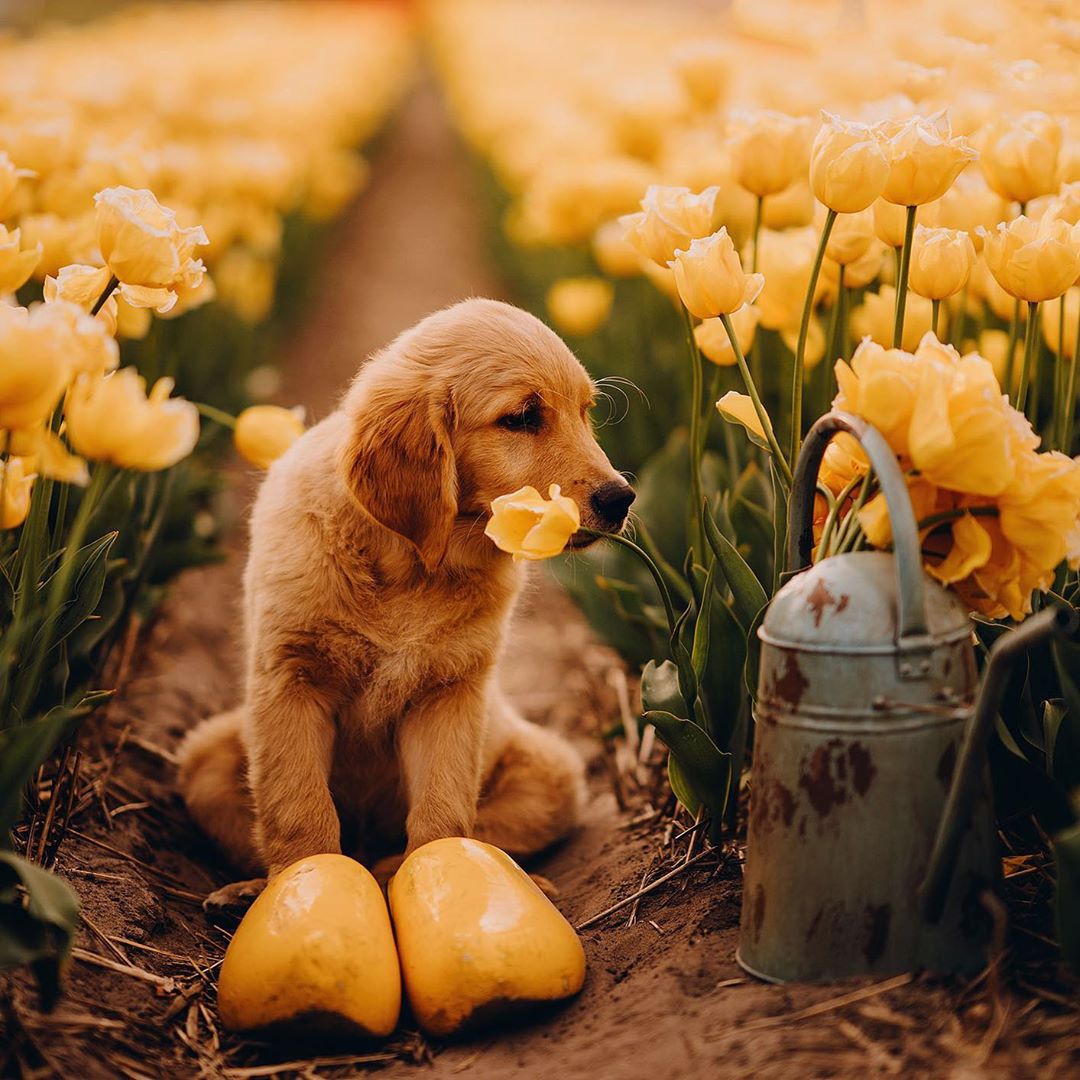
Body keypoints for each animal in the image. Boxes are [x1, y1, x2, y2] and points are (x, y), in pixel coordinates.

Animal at [174, 298, 630, 902]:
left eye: (585, 413)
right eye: (522, 417)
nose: (622, 498)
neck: (409, 566)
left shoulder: (450, 691)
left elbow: (444, 811)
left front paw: (439, 878)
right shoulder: (289, 679)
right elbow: (298, 807)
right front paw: (304, 890)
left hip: (553, 768)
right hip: (206, 753)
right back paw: (251, 889)